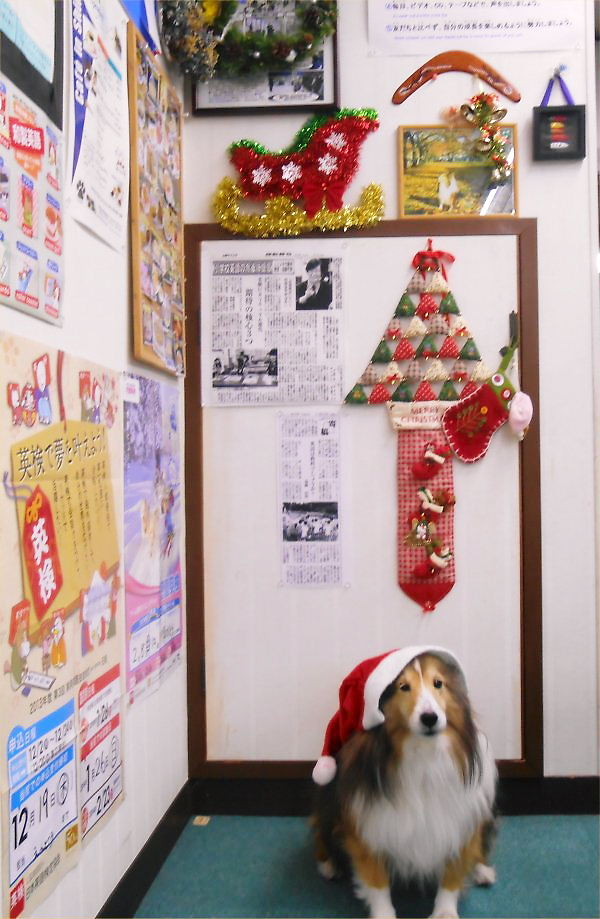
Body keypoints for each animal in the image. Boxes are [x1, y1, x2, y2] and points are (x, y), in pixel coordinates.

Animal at [311, 646, 497, 918]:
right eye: (403, 687)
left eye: (438, 683)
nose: (430, 718)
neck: (424, 754)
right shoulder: (369, 825)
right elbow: (376, 881)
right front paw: (384, 915)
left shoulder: (458, 820)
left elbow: (452, 873)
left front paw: (444, 912)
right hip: (328, 800)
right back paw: (329, 866)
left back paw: (482, 870)